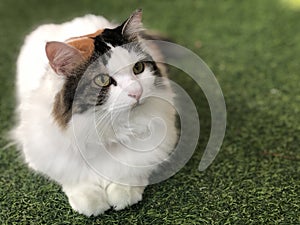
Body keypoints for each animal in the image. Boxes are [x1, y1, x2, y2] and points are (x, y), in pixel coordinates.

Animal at [13, 9, 178, 217]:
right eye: (102, 80)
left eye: (138, 68)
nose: (136, 92)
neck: (106, 129)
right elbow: (73, 177)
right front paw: (90, 201)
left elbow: (132, 170)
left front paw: (122, 193)